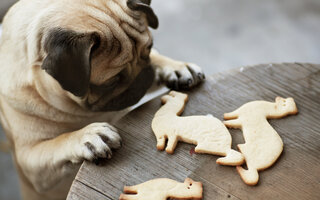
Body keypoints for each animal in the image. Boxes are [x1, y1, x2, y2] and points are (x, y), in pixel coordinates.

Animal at [0, 0, 205, 200]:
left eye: (148, 51)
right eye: (112, 81)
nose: (143, 79)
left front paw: (176, 67)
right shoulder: (31, 164)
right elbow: (57, 143)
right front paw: (87, 136)